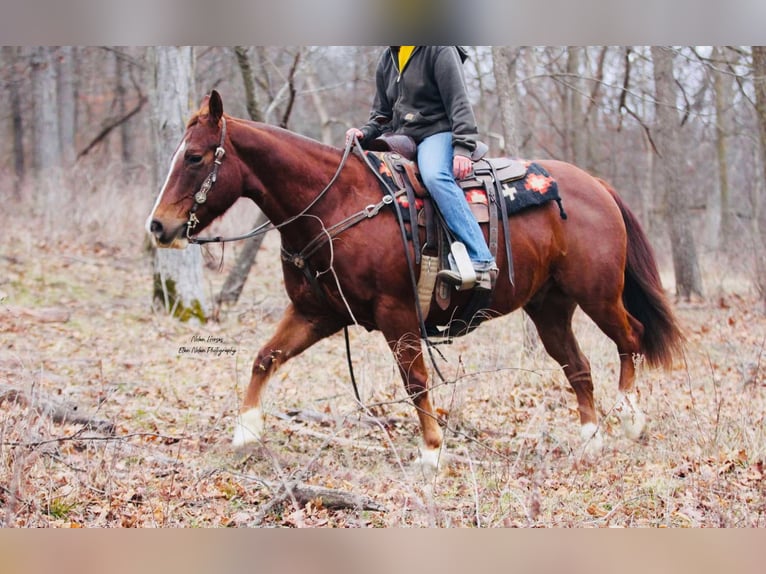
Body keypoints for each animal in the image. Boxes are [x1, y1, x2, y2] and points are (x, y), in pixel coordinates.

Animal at [147, 91, 688, 472]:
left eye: (195, 157)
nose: (159, 227)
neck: (335, 205)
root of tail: (596, 185)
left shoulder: (397, 313)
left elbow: (415, 381)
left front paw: (431, 451)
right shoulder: (317, 312)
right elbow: (266, 357)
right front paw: (245, 432)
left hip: (598, 295)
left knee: (631, 337)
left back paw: (631, 418)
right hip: (550, 307)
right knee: (578, 368)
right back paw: (591, 440)